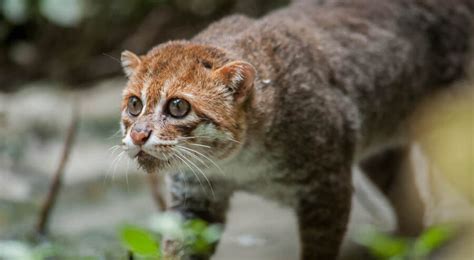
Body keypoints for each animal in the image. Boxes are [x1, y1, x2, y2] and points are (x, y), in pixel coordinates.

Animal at [119, 1, 474, 258]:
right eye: (134, 104)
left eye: (178, 107)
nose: (138, 135)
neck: (239, 163)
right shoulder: (194, 199)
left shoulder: (326, 189)